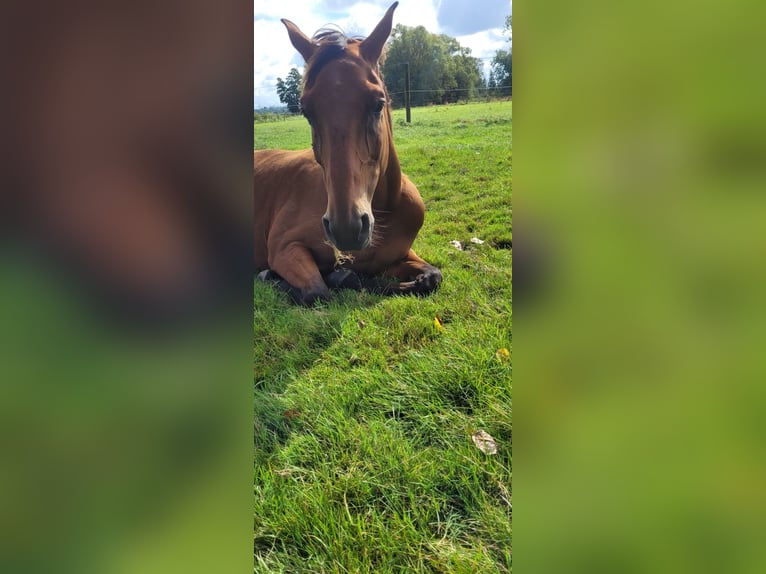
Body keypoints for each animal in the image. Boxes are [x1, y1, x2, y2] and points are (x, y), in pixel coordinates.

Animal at [255, 2, 444, 308]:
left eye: (377, 104)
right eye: (306, 111)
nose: (347, 229)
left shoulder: (402, 257)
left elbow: (431, 277)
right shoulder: (285, 248)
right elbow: (317, 291)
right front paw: (272, 276)